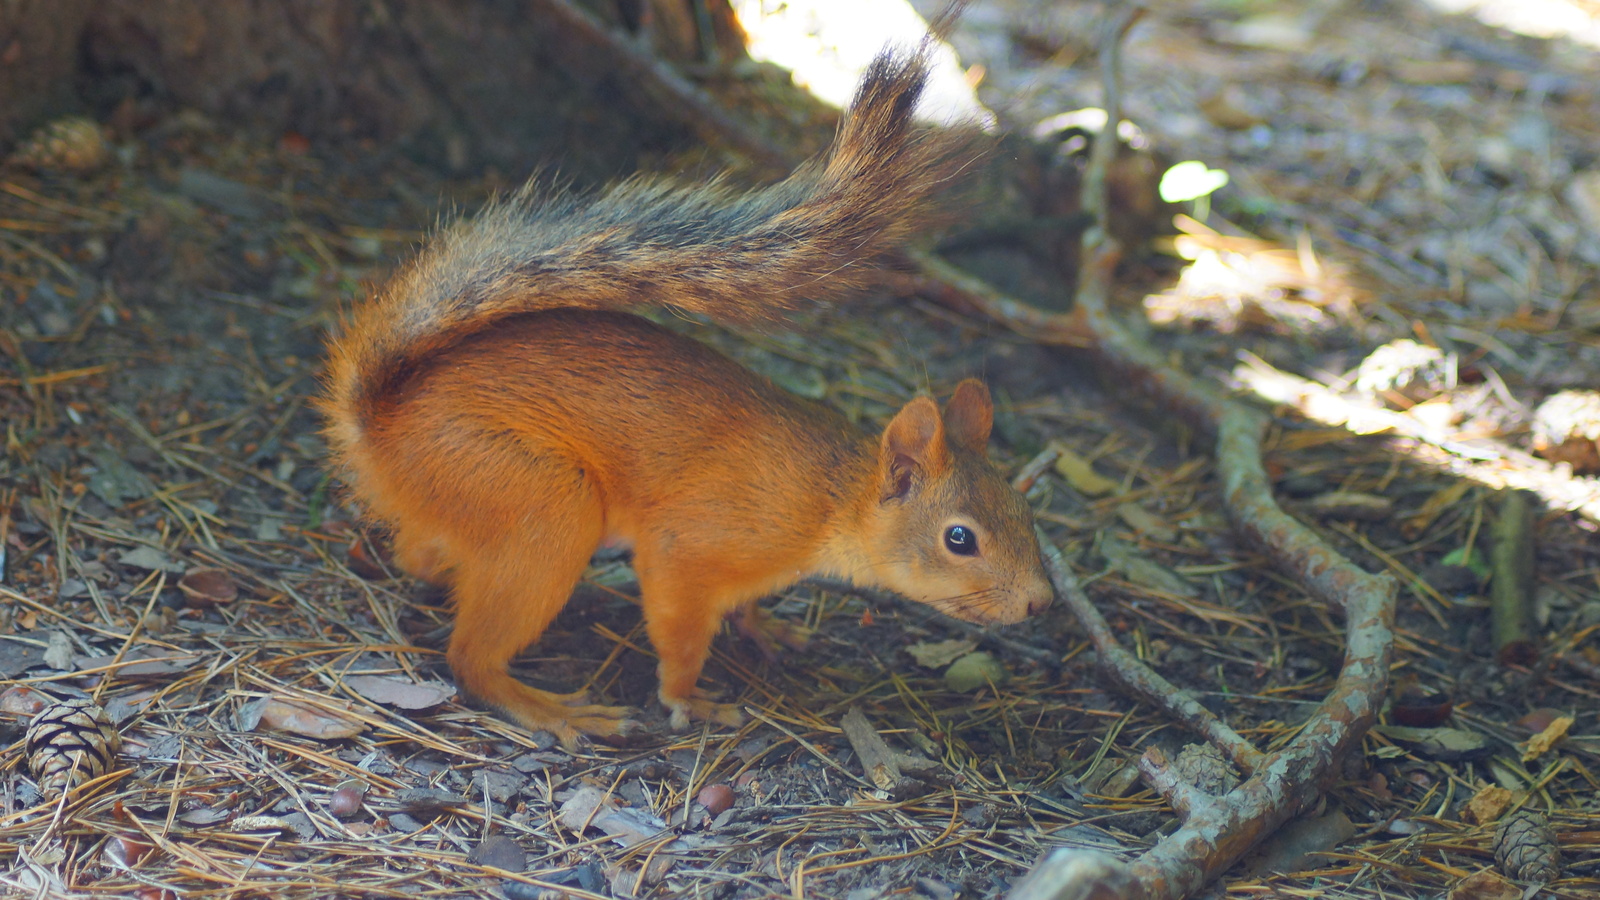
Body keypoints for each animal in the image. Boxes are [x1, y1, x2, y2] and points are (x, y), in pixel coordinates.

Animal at [318, 36, 1056, 743]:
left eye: (1024, 511)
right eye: (960, 539)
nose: (1042, 603)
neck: (829, 497)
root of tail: (379, 421)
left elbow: (748, 604)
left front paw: (765, 628)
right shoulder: (693, 543)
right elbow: (679, 630)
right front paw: (688, 697)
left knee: (418, 557)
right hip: (537, 499)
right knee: (468, 658)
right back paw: (554, 710)